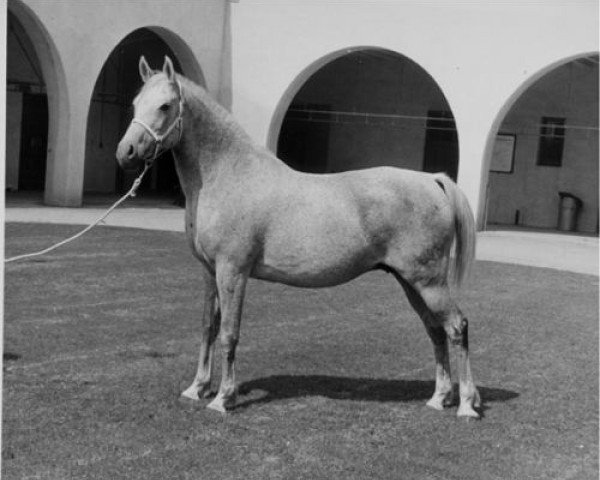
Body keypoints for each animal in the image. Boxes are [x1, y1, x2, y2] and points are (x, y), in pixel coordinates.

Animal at [116, 55, 482, 416]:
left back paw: (466, 403)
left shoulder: (233, 271)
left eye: (165, 106)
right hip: (410, 281)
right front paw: (197, 389)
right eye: (135, 103)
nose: (126, 152)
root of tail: (432, 180)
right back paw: (440, 397)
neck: (230, 175)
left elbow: (229, 333)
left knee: (456, 326)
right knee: (435, 330)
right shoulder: (210, 271)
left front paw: (223, 398)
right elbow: (208, 327)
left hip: (428, 281)